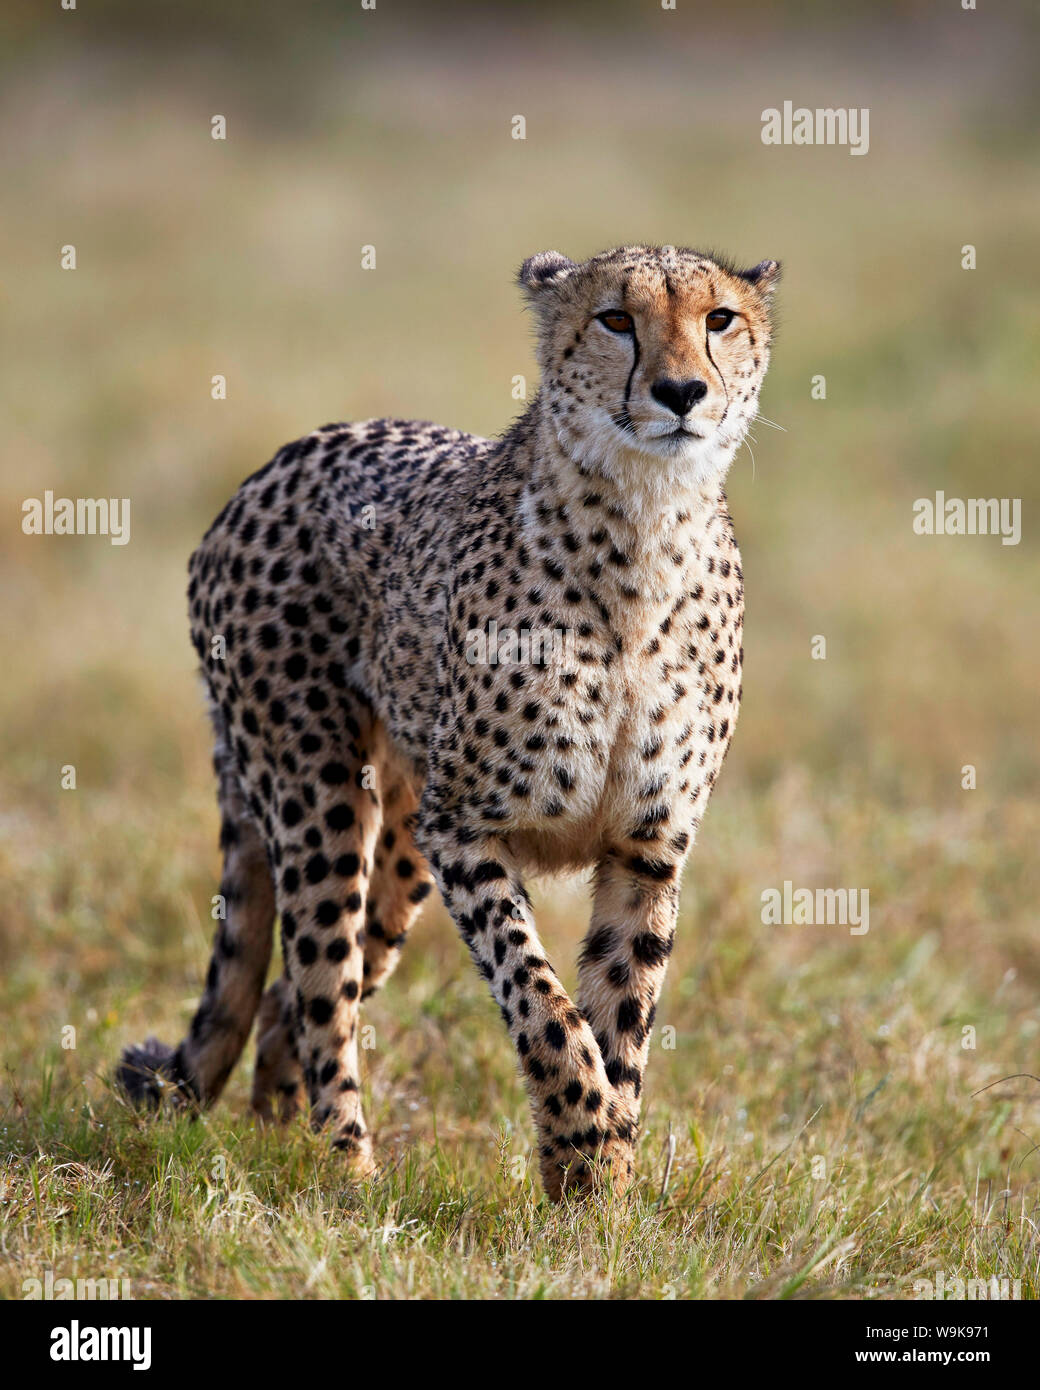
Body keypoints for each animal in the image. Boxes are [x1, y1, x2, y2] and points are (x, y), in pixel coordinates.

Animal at [117, 244, 778, 1200]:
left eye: (719, 319)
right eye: (616, 319)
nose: (682, 391)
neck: (646, 528)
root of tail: (276, 463)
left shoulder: (646, 847)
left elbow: (622, 1017)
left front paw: (605, 1189)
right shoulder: (464, 828)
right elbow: (544, 1003)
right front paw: (582, 1144)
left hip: (398, 850)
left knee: (296, 995)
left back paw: (278, 1139)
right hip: (321, 801)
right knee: (319, 989)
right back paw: (348, 1175)